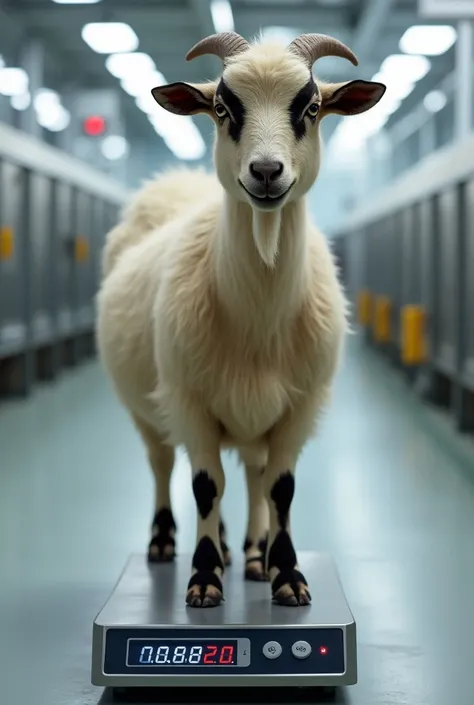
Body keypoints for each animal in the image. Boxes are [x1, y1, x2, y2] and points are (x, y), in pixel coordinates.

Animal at [96, 30, 386, 608]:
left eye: (312, 108)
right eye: (222, 108)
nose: (267, 173)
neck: (258, 319)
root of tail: (174, 185)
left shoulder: (299, 406)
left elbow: (280, 488)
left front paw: (286, 574)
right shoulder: (189, 401)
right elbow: (205, 487)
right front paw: (204, 577)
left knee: (253, 476)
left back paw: (252, 554)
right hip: (148, 408)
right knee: (166, 466)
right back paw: (169, 543)